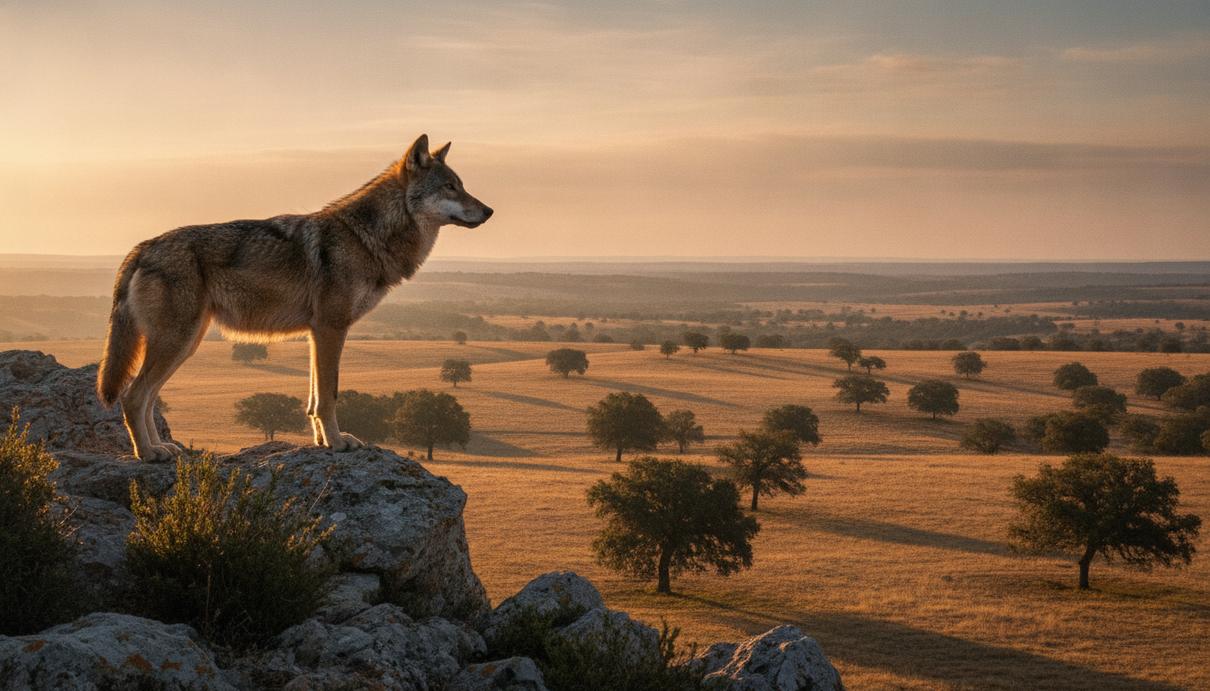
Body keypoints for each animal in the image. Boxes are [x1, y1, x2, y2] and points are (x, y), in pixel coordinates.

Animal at [96, 134, 493, 461]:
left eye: (461, 186)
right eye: (450, 187)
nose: (489, 211)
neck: (366, 236)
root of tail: (141, 248)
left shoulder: (318, 332)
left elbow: (315, 397)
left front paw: (323, 442)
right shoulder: (331, 328)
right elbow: (329, 396)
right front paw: (337, 443)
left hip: (184, 344)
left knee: (146, 398)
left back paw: (161, 447)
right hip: (177, 342)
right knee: (133, 395)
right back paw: (147, 454)